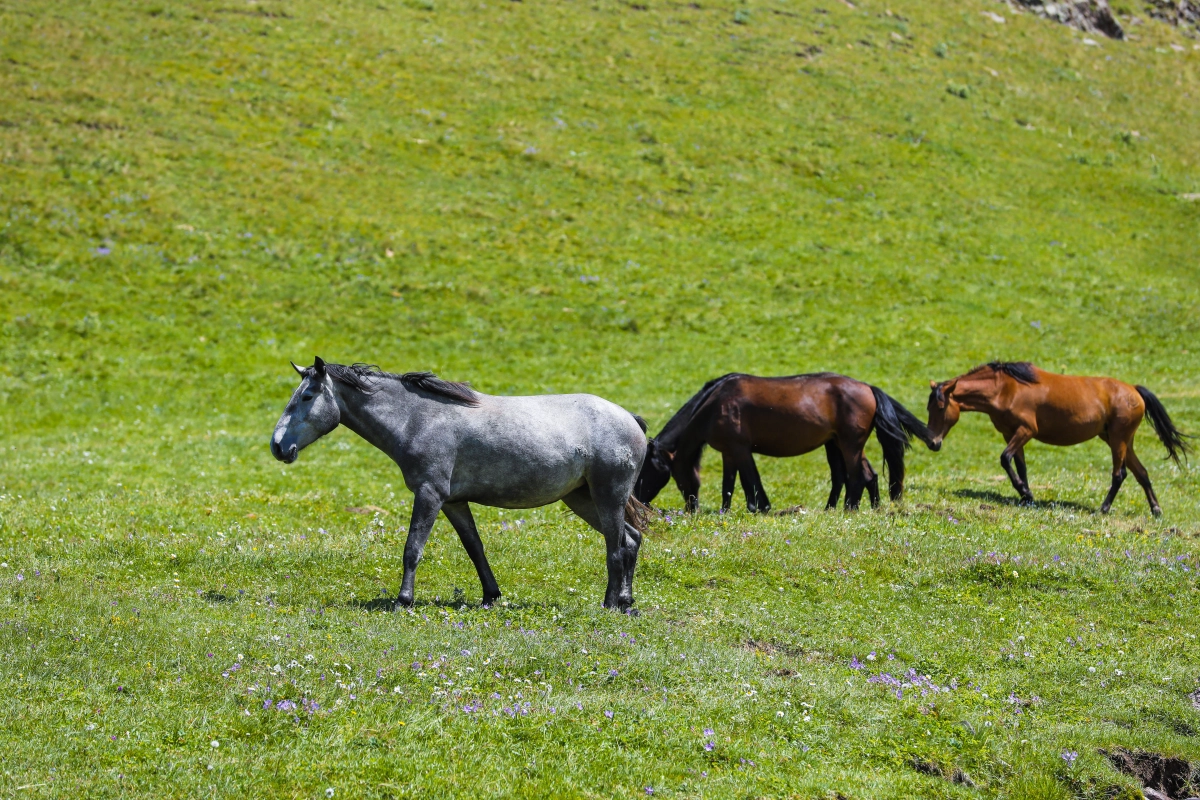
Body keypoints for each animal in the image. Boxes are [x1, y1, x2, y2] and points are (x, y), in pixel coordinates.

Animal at [271, 359, 652, 609]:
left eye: (307, 397)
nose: (277, 446)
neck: (417, 419)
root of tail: (630, 418)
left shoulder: (429, 494)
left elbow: (413, 548)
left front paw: (403, 600)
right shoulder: (453, 502)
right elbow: (475, 548)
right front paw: (490, 596)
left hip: (607, 497)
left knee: (617, 548)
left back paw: (612, 603)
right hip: (582, 499)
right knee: (631, 540)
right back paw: (626, 601)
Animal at [633, 374, 931, 513]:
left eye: (645, 470)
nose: (638, 501)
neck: (715, 404)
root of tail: (869, 388)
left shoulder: (741, 450)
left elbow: (750, 481)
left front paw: (760, 508)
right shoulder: (729, 453)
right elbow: (729, 485)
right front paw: (725, 511)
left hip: (849, 445)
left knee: (857, 476)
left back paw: (848, 508)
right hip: (843, 444)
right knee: (866, 475)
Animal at [926, 359, 1190, 515]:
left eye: (939, 407)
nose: (933, 442)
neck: (1005, 389)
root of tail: (1134, 390)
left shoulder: (1026, 431)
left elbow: (1005, 459)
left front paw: (1026, 493)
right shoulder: (1010, 433)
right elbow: (1019, 466)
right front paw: (1027, 497)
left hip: (1118, 440)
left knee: (1120, 474)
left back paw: (1103, 508)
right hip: (1122, 440)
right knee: (1142, 473)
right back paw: (1156, 510)